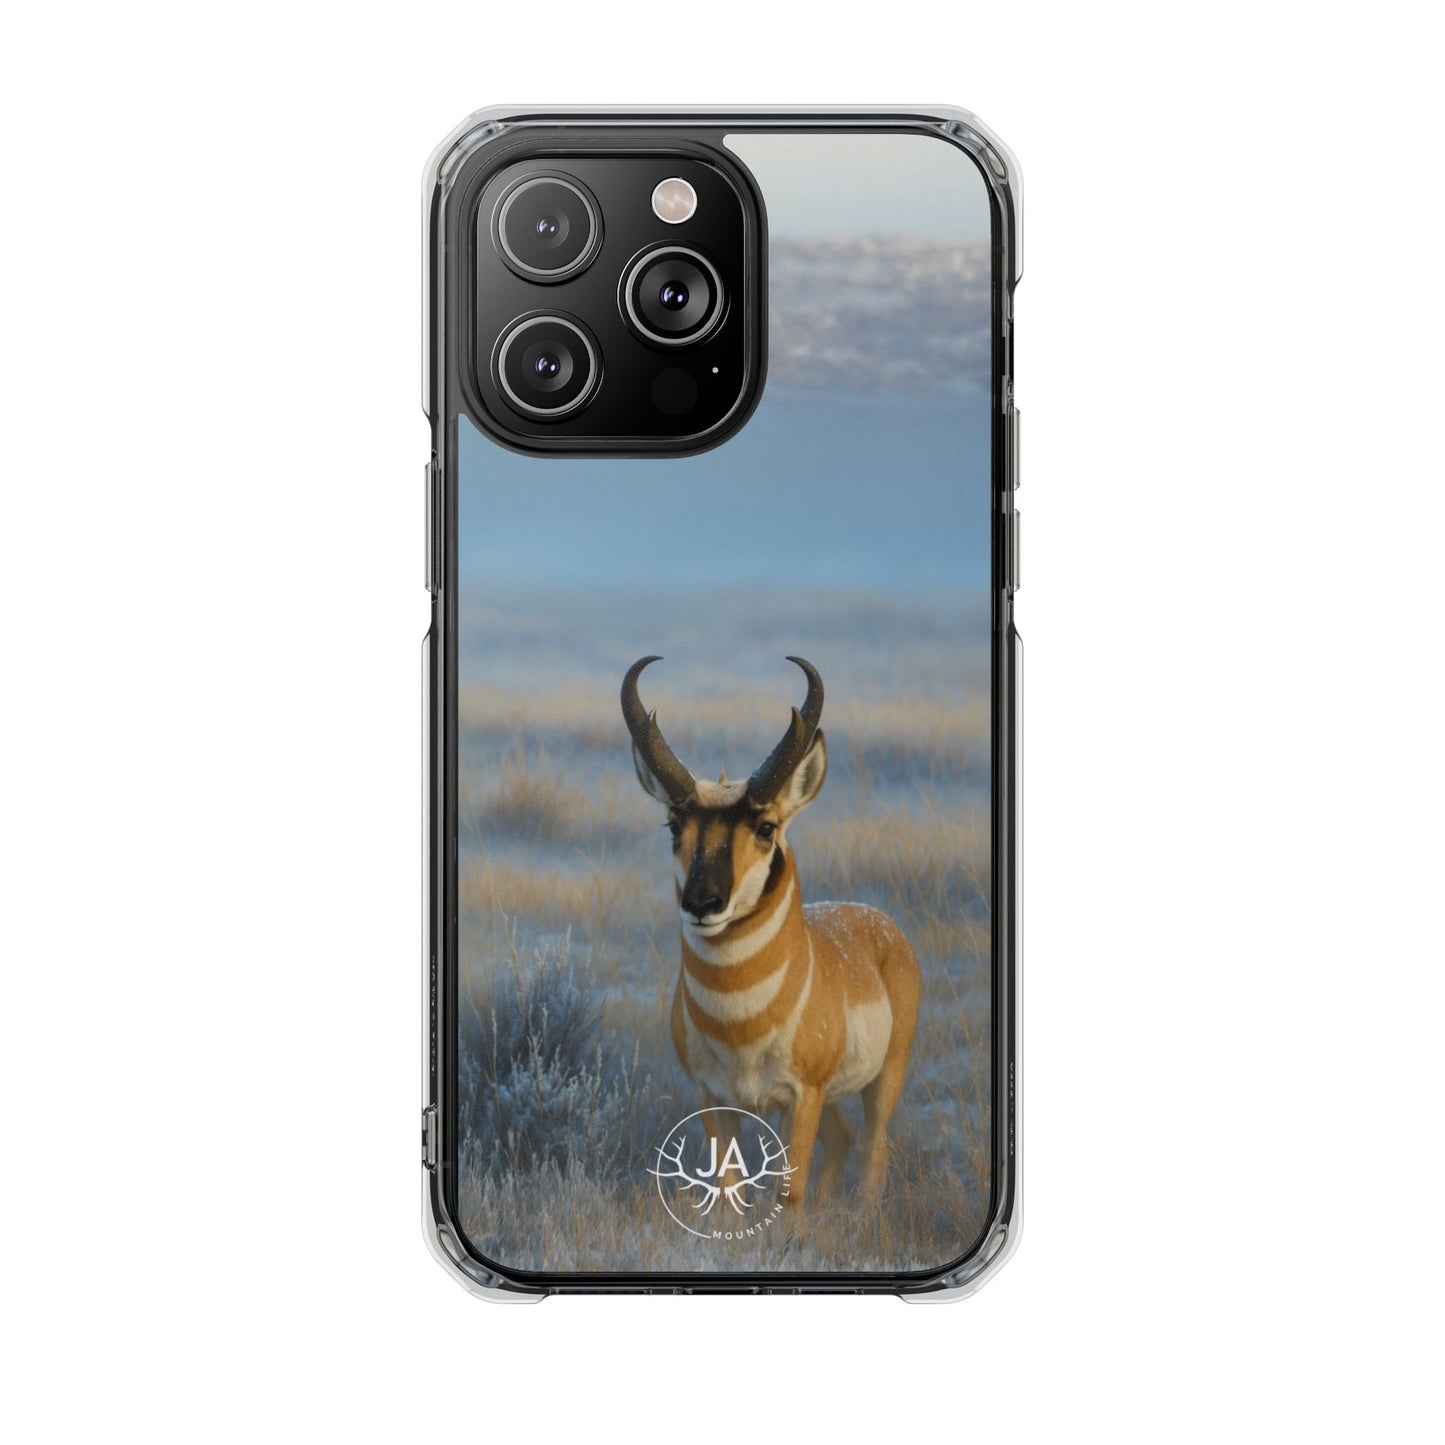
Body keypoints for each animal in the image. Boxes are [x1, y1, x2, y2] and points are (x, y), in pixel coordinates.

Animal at [622, 655, 921, 1206]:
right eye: (674, 825)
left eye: (766, 827)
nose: (703, 903)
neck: (741, 1023)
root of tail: (876, 921)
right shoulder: (714, 1099)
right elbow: (726, 1190)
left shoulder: (801, 1097)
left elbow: (789, 1192)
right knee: (844, 1138)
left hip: (885, 1077)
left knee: (874, 1149)